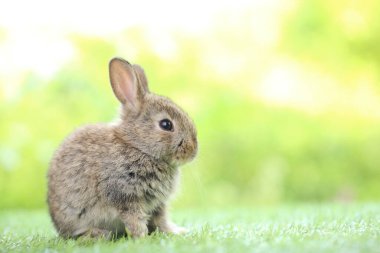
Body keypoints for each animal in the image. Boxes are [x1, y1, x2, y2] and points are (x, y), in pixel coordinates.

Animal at [46, 57, 199, 239]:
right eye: (166, 124)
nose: (193, 151)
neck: (137, 146)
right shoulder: (125, 196)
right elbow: (135, 220)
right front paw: (142, 237)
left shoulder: (157, 204)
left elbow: (160, 220)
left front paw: (175, 232)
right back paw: (98, 234)